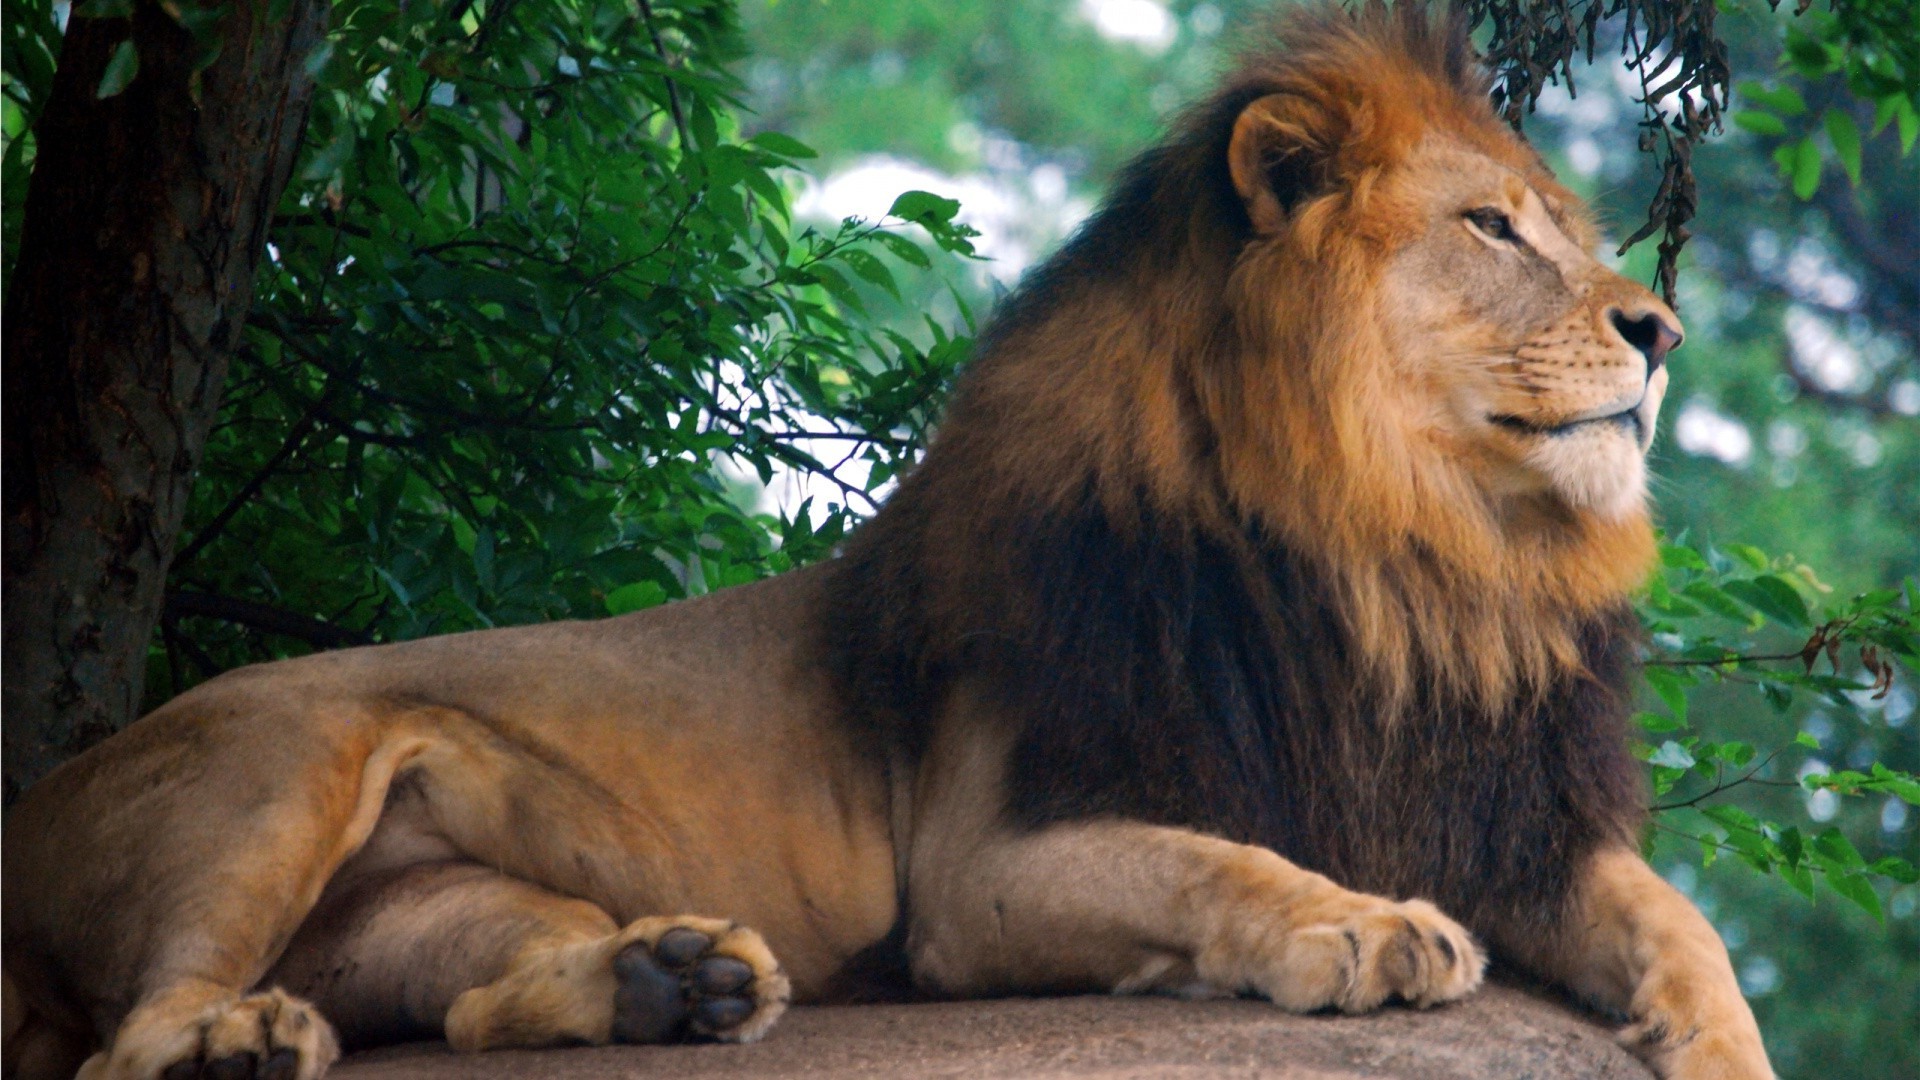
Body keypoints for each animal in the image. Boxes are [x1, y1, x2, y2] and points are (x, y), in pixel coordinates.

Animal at [0, 8, 1766, 1076]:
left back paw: (671, 984)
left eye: (1575, 230)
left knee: (485, 1000)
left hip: (429, 900)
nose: (1663, 327)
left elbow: (1686, 934)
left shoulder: (1502, 818)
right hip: (277, 772)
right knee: (129, 1035)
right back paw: (234, 1037)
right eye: (1491, 226)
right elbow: (1217, 860)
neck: (1404, 559)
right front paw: (1362, 924)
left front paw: (1716, 1040)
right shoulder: (981, 871)